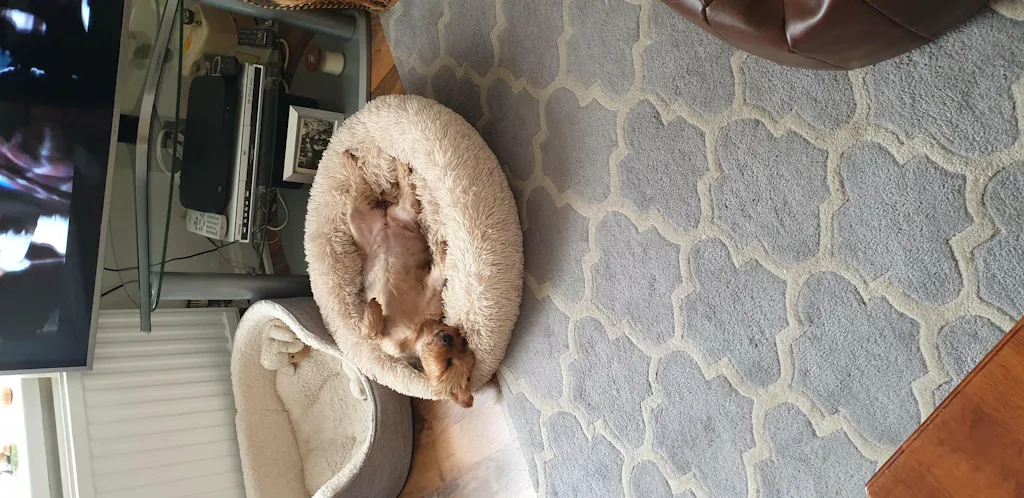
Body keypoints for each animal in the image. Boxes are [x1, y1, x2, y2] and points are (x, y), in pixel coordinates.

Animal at [343, 152, 475, 408]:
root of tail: (387, 219)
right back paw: (361, 158)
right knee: (375, 184)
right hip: (361, 218)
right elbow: (369, 331)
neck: (416, 333)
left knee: (386, 188)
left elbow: (370, 334)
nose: (448, 337)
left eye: (450, 363)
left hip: (391, 213)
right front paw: (373, 308)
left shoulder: (430, 294)